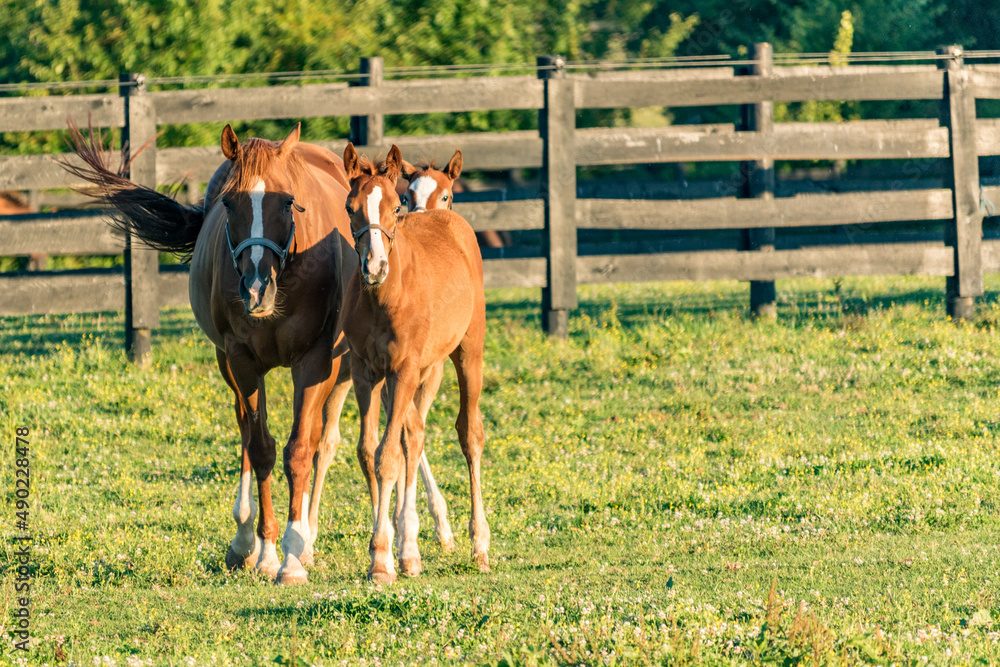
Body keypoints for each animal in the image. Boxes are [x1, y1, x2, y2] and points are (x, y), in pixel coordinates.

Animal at [340, 144, 488, 580]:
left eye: (393, 206)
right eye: (350, 207)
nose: (374, 267)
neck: (384, 298)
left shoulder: (404, 371)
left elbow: (389, 456)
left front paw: (382, 558)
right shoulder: (366, 372)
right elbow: (370, 451)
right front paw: (389, 551)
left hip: (467, 353)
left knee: (469, 433)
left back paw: (479, 545)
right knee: (414, 434)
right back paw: (411, 547)